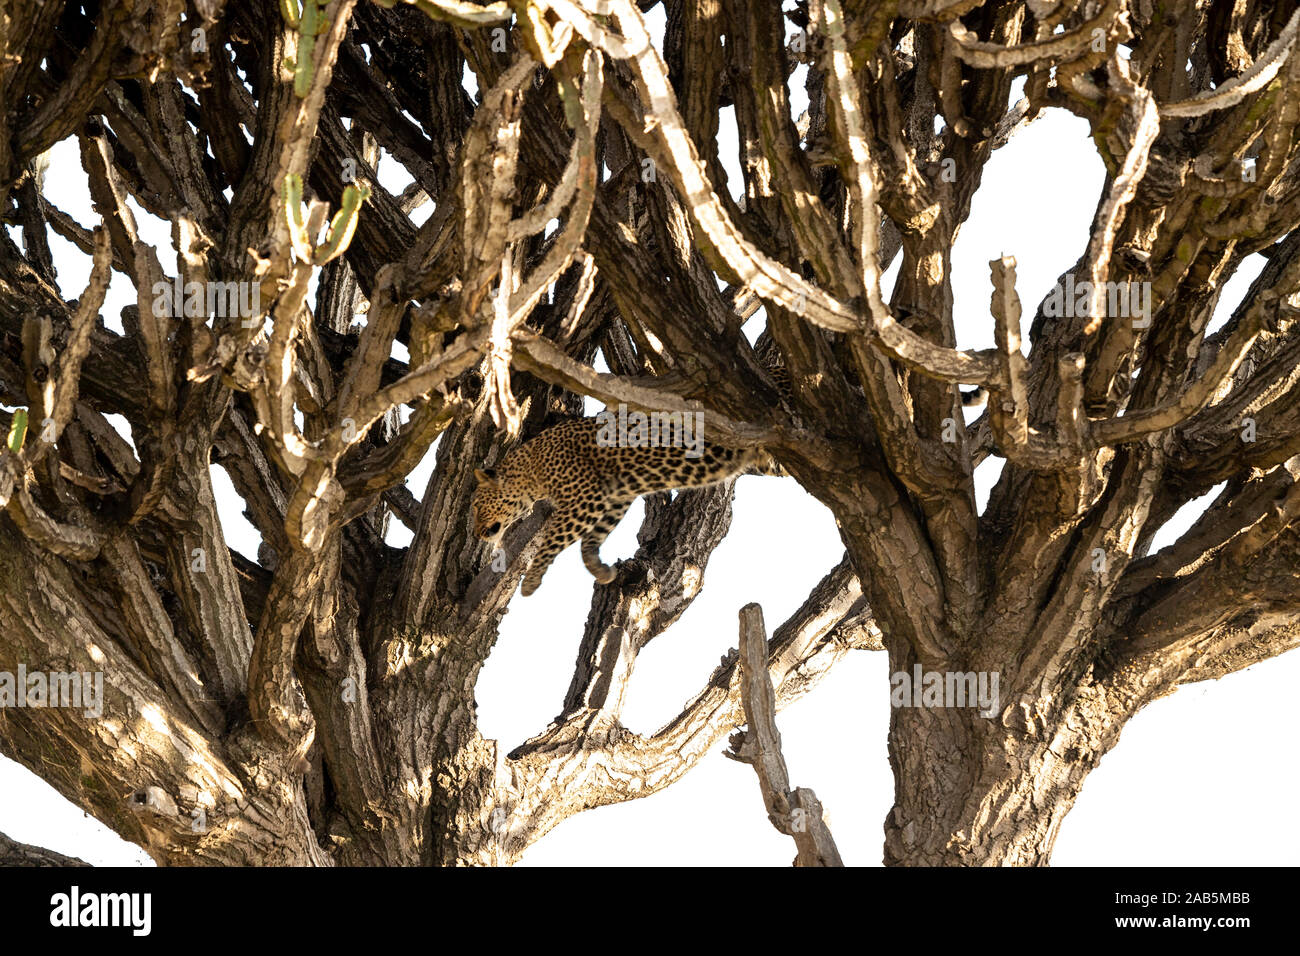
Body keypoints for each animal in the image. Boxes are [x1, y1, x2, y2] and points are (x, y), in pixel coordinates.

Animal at [470, 416, 779, 595]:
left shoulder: (586, 499)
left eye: (474, 506)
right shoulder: (613, 498)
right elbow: (590, 541)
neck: (530, 468)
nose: (475, 534)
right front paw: (601, 571)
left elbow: (551, 541)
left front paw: (531, 581)